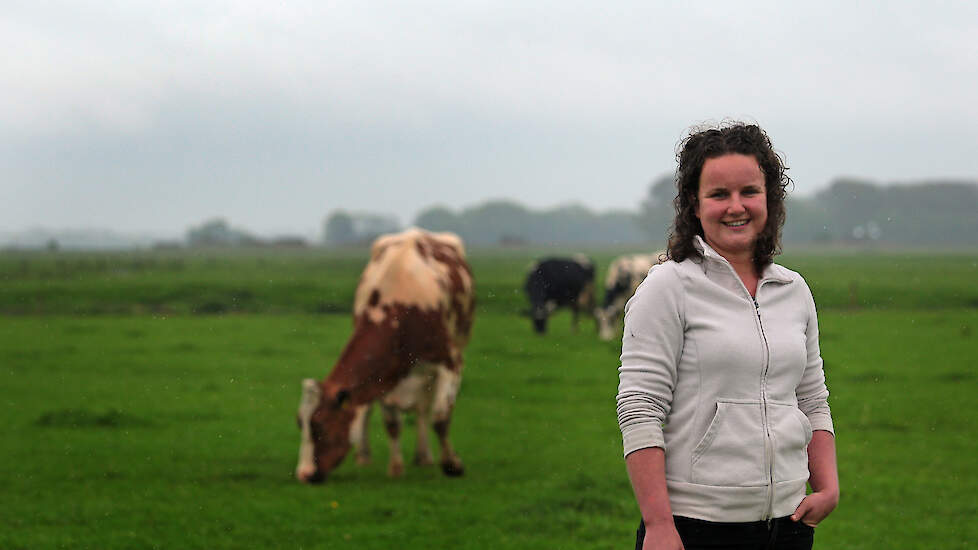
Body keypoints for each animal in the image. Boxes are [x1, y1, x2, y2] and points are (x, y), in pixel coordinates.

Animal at [296, 227, 474, 484]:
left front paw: (452, 465)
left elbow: (440, 419)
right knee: (374, 409)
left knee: (424, 408)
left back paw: (424, 456)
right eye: (300, 422)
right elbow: (391, 423)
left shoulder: (451, 362)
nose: (304, 474)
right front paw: (396, 468)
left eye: (320, 425)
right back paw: (365, 456)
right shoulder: (385, 373)